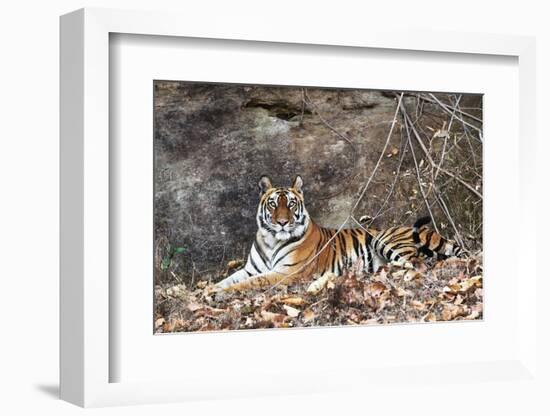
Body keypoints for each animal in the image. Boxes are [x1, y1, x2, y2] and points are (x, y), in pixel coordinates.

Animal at [213, 174, 464, 290]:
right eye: (273, 204)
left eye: (291, 204)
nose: (282, 222)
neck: (271, 240)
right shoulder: (249, 269)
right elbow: (229, 279)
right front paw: (212, 290)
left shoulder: (287, 272)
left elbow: (251, 283)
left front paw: (223, 293)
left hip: (386, 241)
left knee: (417, 263)